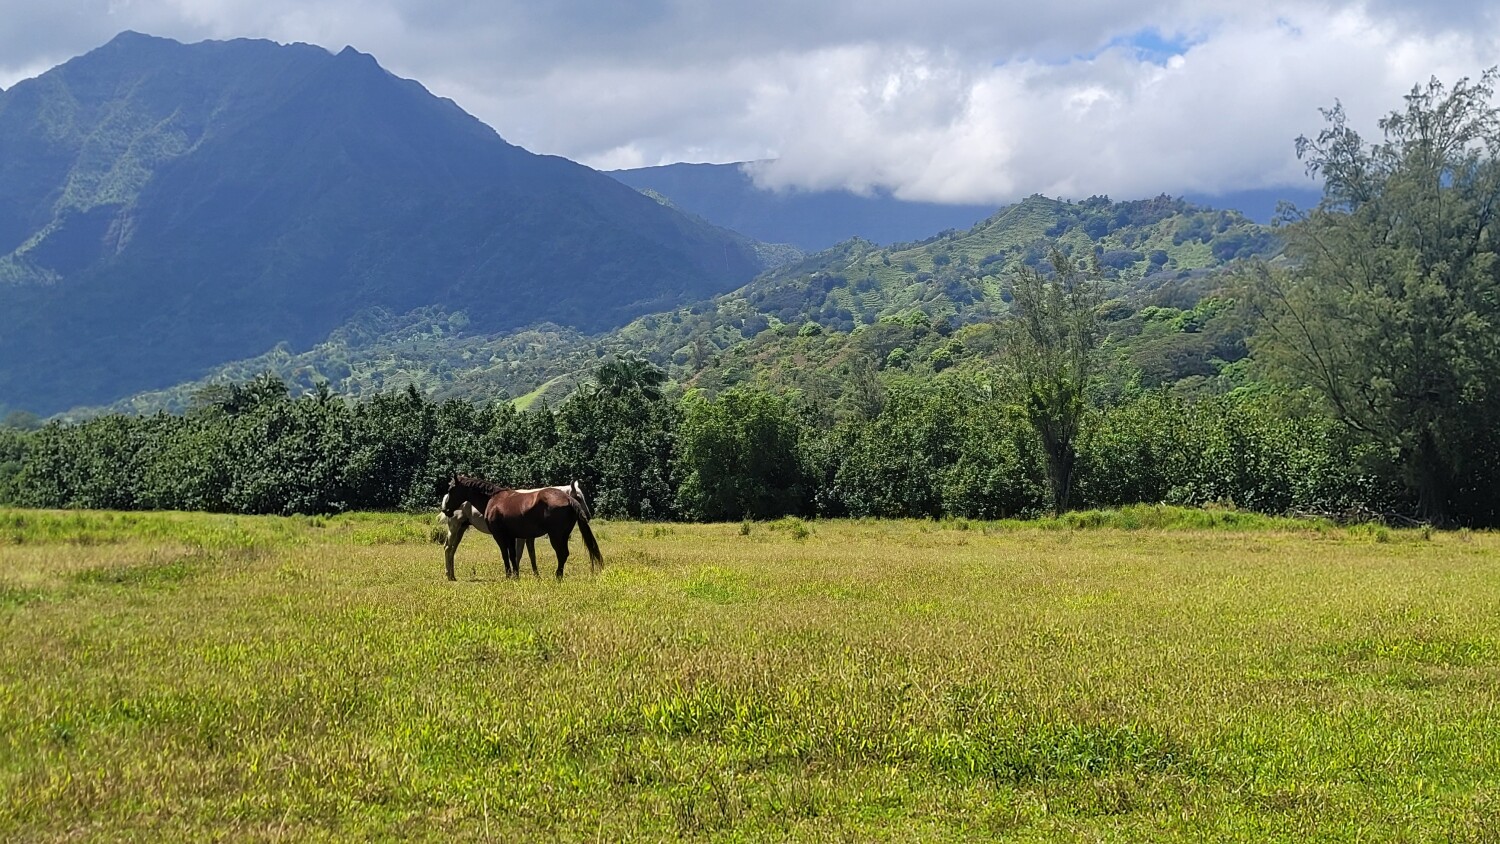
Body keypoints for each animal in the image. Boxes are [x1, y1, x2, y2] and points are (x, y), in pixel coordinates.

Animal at [442, 474, 603, 580]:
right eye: (579, 497)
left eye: (451, 489)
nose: (446, 510)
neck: (493, 499)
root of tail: (567, 499)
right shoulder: (514, 536)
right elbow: (515, 555)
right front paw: (516, 575)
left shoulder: (501, 536)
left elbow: (507, 555)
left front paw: (510, 575)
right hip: (458, 528)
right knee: (450, 549)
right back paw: (451, 575)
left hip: (556, 536)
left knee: (562, 554)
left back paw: (557, 576)